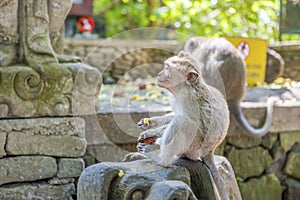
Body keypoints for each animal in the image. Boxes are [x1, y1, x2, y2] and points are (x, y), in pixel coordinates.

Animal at [124, 51, 230, 200]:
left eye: (167, 68)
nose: (159, 74)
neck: (181, 88)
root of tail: (209, 152)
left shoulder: (188, 98)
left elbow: (189, 120)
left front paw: (151, 132)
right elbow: (175, 114)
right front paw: (150, 122)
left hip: (194, 147)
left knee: (182, 123)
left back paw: (160, 159)